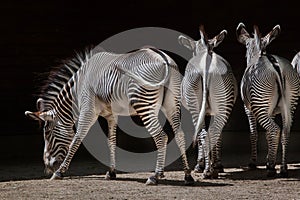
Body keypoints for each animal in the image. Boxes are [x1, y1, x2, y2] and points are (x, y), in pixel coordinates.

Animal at [25, 46, 195, 185]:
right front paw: (112, 172)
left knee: (161, 136)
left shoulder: (88, 111)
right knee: (180, 135)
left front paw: (60, 172)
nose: (48, 167)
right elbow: (111, 142)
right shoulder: (111, 115)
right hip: (171, 104)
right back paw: (187, 175)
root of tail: (164, 58)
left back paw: (155, 176)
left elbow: (76, 139)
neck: (78, 88)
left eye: (47, 133)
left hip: (144, 104)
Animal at [178, 26, 237, 178]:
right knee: (214, 131)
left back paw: (207, 170)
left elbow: (200, 135)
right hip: (222, 102)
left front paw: (200, 165)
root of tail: (207, 58)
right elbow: (217, 134)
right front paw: (216, 164)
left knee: (204, 133)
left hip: (195, 104)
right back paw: (212, 169)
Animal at [237, 22, 300, 177]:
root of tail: (276, 66)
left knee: (275, 130)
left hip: (260, 104)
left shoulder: (249, 109)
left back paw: (272, 168)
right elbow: (266, 135)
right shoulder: (270, 111)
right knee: (285, 131)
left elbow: (254, 134)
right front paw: (268, 159)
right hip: (289, 104)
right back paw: (283, 168)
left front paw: (254, 162)